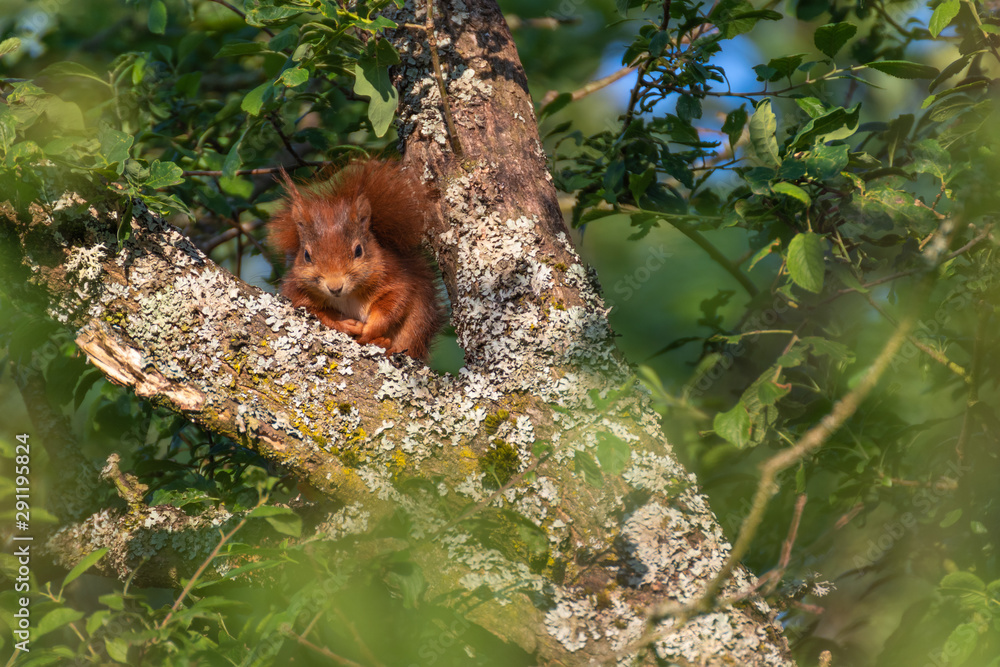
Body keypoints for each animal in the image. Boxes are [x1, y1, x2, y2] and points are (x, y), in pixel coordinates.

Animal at [269, 159, 442, 361]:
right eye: (306, 256)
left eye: (359, 250)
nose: (335, 287)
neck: (348, 296)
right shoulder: (297, 294)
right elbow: (317, 313)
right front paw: (343, 323)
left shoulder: (396, 278)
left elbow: (394, 303)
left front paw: (369, 330)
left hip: (417, 323)